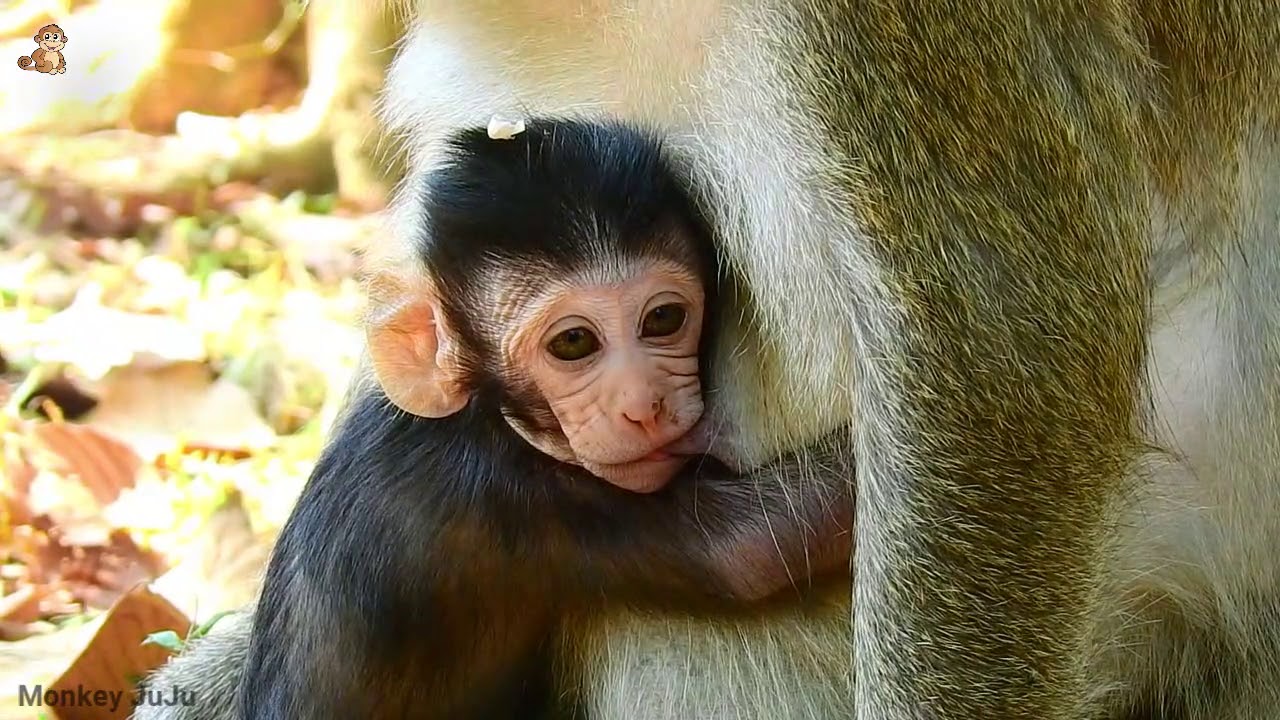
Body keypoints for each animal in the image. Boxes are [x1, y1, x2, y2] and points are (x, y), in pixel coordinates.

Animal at [233, 119, 853, 719]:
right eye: (574, 343)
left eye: (664, 319)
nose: (643, 405)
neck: (487, 413)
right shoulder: (504, 494)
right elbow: (750, 547)